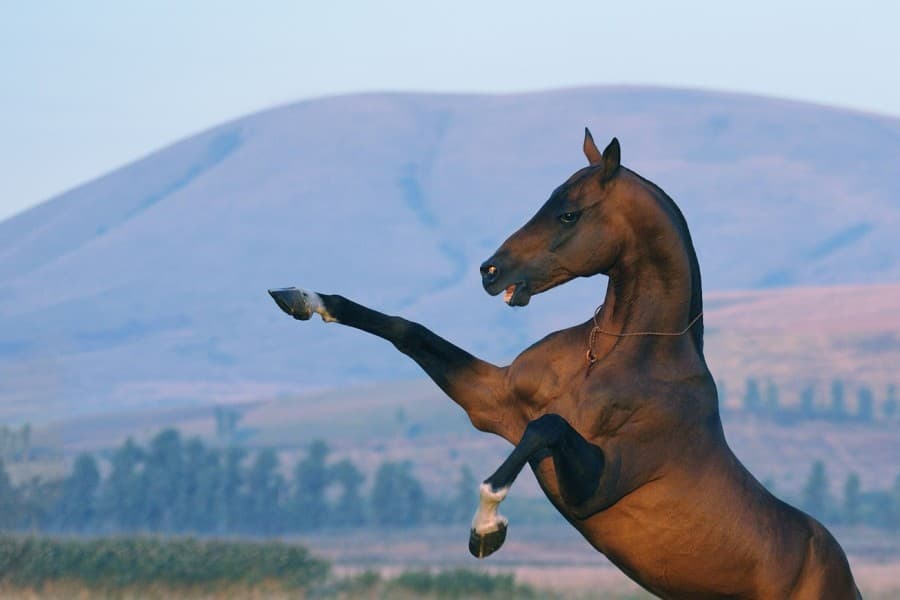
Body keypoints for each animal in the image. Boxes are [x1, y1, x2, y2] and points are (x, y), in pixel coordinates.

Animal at [268, 129, 860, 599]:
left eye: (569, 213)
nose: (490, 271)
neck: (611, 357)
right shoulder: (494, 404)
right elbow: (406, 331)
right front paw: (301, 298)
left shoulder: (594, 485)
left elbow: (546, 427)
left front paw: (487, 528)